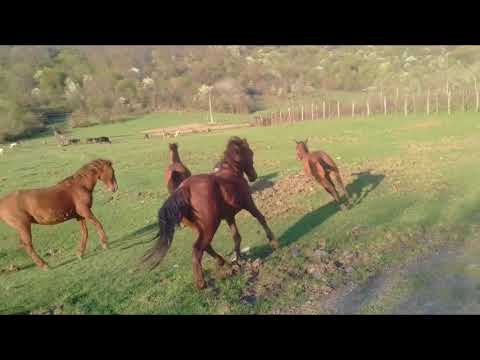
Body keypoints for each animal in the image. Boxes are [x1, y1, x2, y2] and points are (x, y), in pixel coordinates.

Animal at [142, 136, 278, 288]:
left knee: (206, 246)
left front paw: (238, 259)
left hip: (200, 227)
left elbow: (237, 236)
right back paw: (202, 283)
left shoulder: (229, 216)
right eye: (250, 153)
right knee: (198, 249)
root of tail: (183, 189)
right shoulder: (248, 204)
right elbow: (260, 217)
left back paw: (225, 264)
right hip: (210, 225)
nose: (254, 176)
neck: (232, 172)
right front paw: (273, 242)